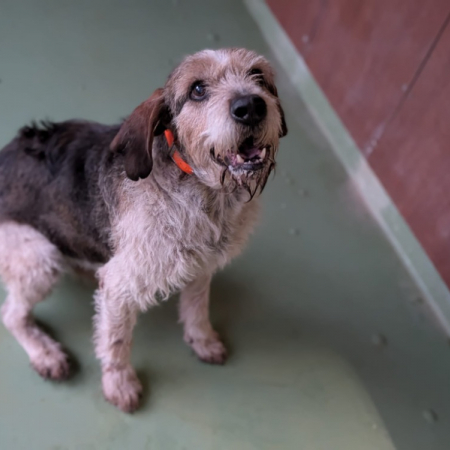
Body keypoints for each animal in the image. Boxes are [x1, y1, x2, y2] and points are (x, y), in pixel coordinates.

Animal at [0, 48, 287, 412]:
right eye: (197, 89)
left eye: (259, 77)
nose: (251, 106)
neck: (205, 192)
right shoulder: (119, 287)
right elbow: (116, 341)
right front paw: (119, 383)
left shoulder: (202, 265)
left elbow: (197, 307)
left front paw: (202, 340)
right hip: (39, 256)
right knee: (11, 315)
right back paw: (46, 353)